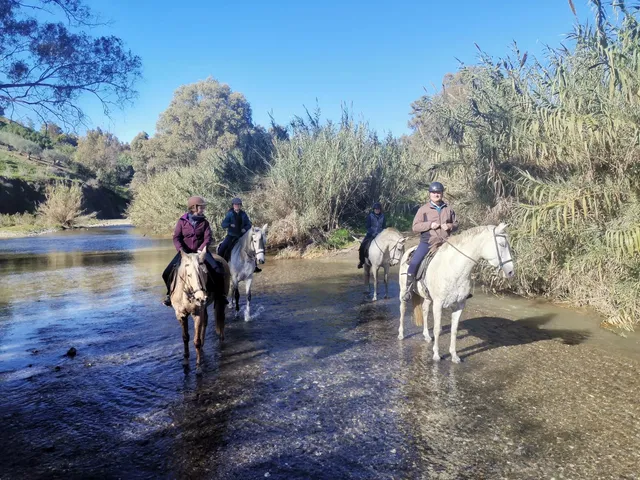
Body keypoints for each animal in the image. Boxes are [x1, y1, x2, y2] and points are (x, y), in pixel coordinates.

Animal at [398, 223, 515, 363]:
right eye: (502, 244)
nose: (511, 272)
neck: (454, 268)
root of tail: (409, 250)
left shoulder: (459, 305)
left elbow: (454, 330)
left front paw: (454, 355)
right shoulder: (438, 304)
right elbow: (437, 329)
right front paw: (436, 355)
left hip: (428, 297)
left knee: (425, 310)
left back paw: (426, 335)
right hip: (403, 292)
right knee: (402, 309)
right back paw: (401, 334)